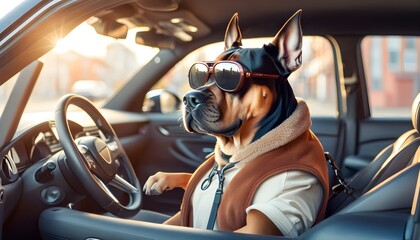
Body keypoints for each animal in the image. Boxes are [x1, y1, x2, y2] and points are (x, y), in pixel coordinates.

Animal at [144, 9, 328, 236]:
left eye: (230, 75)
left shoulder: (259, 225)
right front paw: (162, 178)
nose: (189, 98)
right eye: (200, 74)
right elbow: (190, 177)